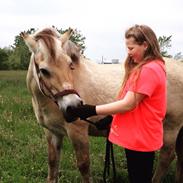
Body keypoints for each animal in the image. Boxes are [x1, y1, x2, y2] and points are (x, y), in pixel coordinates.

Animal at [20, 27, 183, 183]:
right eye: (43, 71)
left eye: (70, 64)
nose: (73, 106)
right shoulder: (52, 133)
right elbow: (53, 164)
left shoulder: (78, 132)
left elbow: (84, 166)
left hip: (171, 127)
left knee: (167, 156)